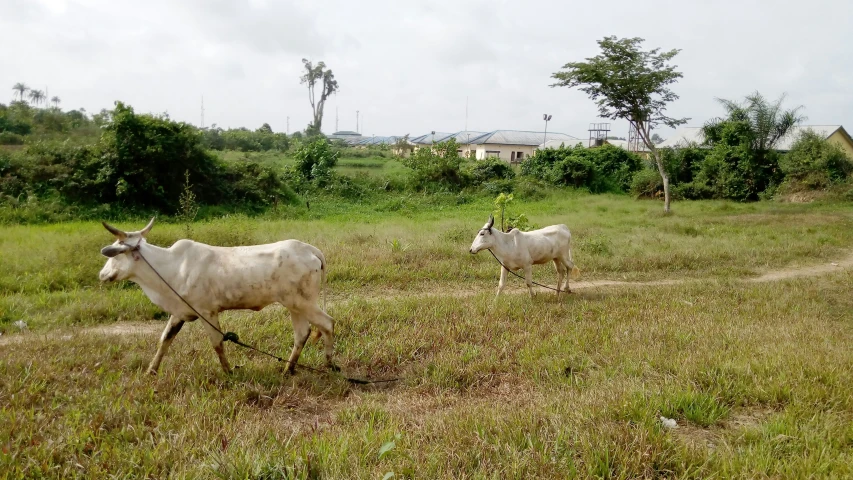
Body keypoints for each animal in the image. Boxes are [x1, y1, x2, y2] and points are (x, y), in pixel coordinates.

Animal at [95, 219, 332, 376]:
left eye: (115, 255)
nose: (102, 275)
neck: (171, 266)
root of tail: (309, 249)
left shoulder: (206, 312)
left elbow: (217, 343)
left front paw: (228, 372)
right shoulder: (180, 311)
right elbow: (165, 339)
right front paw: (151, 371)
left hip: (302, 302)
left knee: (327, 323)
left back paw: (330, 364)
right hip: (294, 305)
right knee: (302, 333)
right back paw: (288, 369)